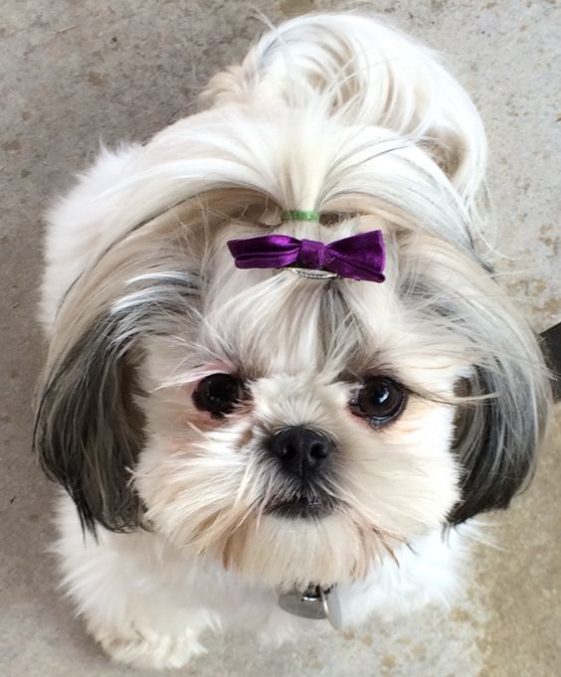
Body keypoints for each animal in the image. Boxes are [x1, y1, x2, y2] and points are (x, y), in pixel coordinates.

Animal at [31, 13, 552, 668]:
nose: (300, 441)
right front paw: (148, 641)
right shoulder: (122, 563)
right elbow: (139, 599)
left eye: (382, 396)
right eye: (217, 392)